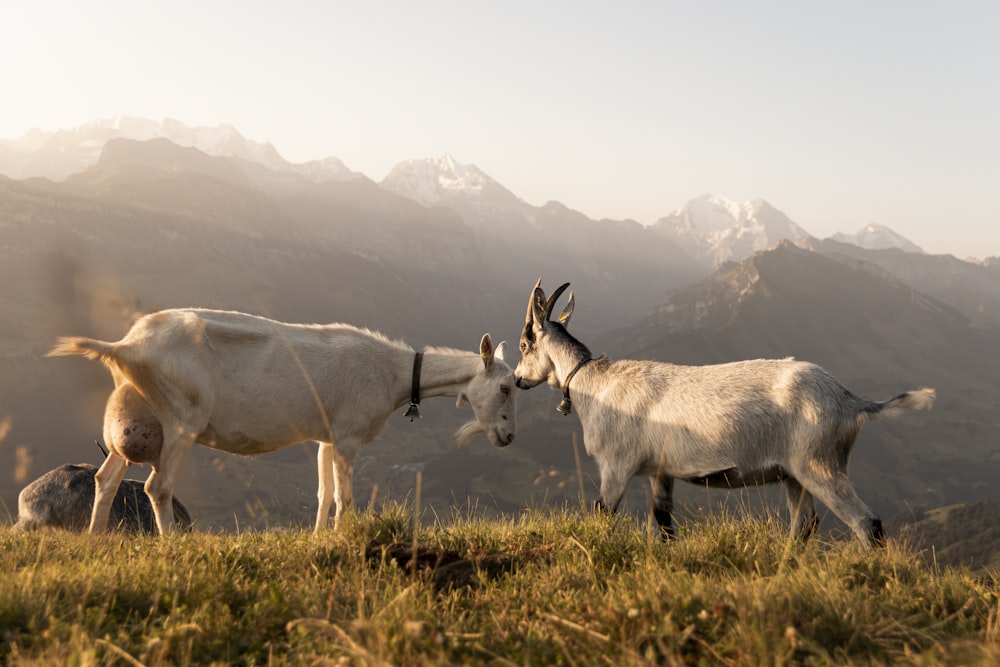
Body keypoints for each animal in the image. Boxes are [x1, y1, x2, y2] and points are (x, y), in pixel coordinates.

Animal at [47, 310, 516, 536]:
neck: (394, 372)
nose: (509, 436)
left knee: (107, 477)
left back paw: (94, 538)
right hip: (182, 416)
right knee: (156, 487)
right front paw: (343, 537)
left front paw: (319, 537)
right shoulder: (348, 437)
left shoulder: (327, 437)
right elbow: (344, 497)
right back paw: (173, 543)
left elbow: (324, 494)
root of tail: (127, 346)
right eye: (507, 387)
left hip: (136, 419)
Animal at [516, 282, 936, 548]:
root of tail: (850, 402)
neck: (597, 383)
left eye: (523, 344)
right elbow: (664, 523)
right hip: (795, 473)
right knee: (804, 525)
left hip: (819, 463)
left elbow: (603, 513)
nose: (518, 379)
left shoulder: (617, 465)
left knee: (867, 523)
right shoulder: (661, 470)